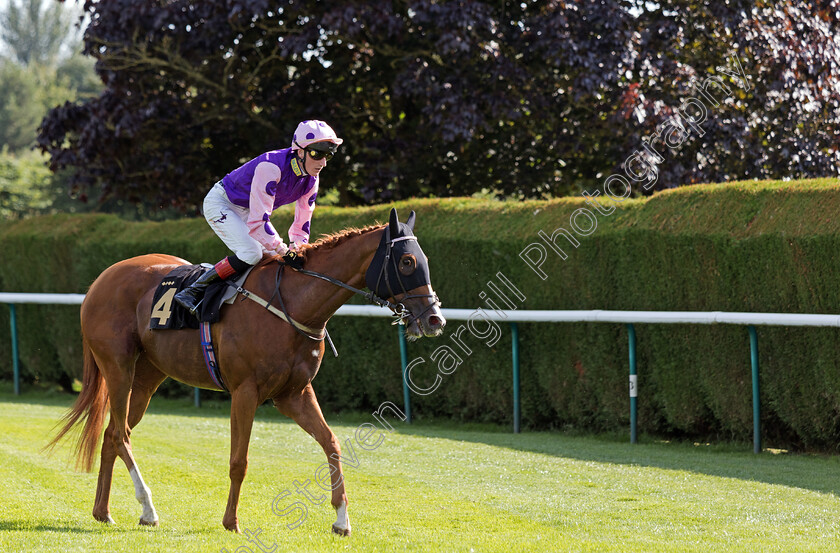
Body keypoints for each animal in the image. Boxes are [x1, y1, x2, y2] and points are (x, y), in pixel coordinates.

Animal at [49, 208, 446, 536]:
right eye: (407, 261)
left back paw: (103, 511)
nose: (434, 319)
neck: (292, 305)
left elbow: (332, 444)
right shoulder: (245, 391)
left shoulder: (293, 394)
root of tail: (100, 280)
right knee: (121, 435)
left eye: (425, 259)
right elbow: (239, 460)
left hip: (147, 377)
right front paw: (231, 521)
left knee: (113, 434)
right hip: (118, 367)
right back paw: (148, 509)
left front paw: (342, 520)